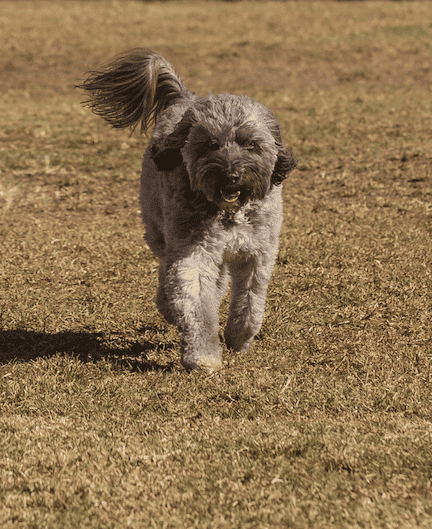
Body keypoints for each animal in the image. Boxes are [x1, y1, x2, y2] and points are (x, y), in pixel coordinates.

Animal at [80, 49, 296, 372]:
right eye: (211, 144)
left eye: (251, 144)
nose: (231, 175)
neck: (227, 212)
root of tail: (185, 98)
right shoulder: (193, 253)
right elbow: (194, 304)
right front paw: (203, 354)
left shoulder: (257, 252)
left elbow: (250, 301)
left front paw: (238, 337)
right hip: (159, 229)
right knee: (166, 269)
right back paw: (168, 306)